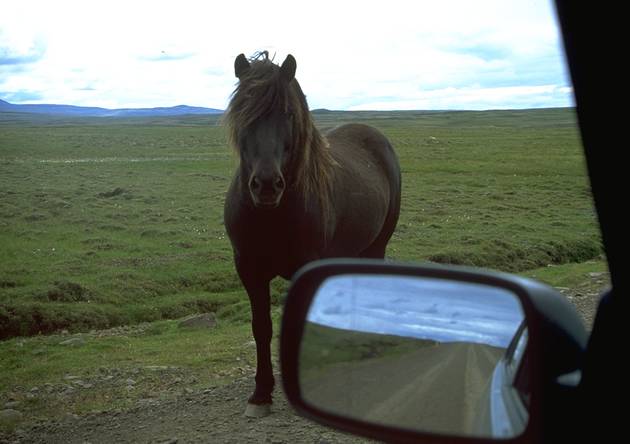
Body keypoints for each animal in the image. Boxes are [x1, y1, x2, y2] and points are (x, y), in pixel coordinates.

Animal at [225, 52, 402, 416]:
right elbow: (261, 328)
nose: (266, 185)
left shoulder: (306, 267)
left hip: (376, 245)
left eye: (288, 114)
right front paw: (261, 393)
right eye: (243, 111)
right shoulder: (249, 269)